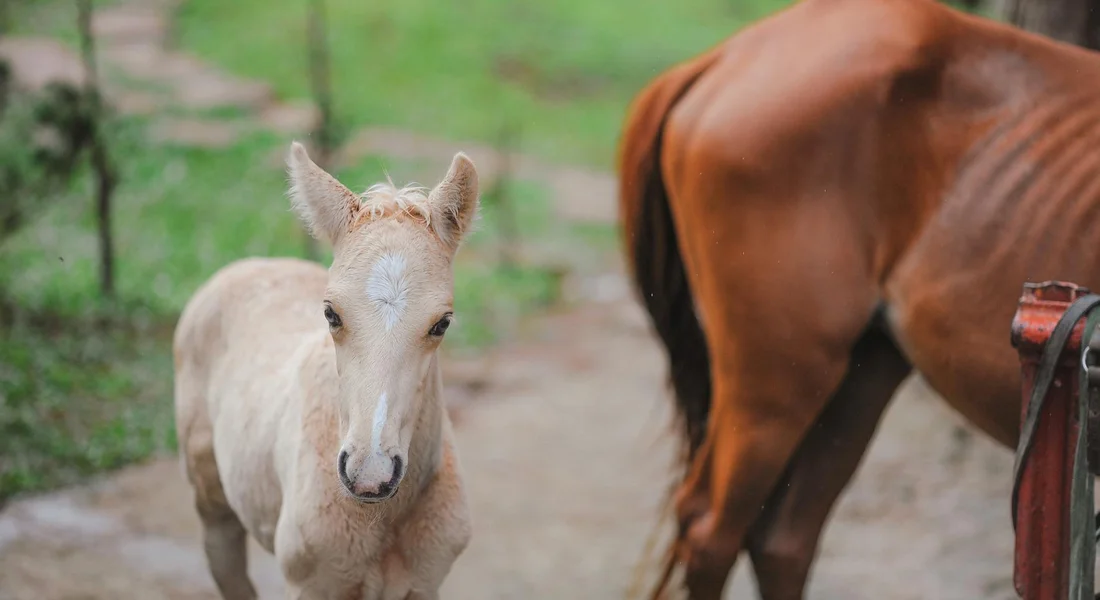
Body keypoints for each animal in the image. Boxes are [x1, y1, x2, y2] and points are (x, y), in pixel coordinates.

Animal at [173, 142, 477, 599]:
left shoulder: (425, 584)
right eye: (331, 313)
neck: (380, 518)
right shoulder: (312, 584)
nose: (369, 475)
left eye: (442, 323)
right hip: (211, 498)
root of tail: (253, 263)